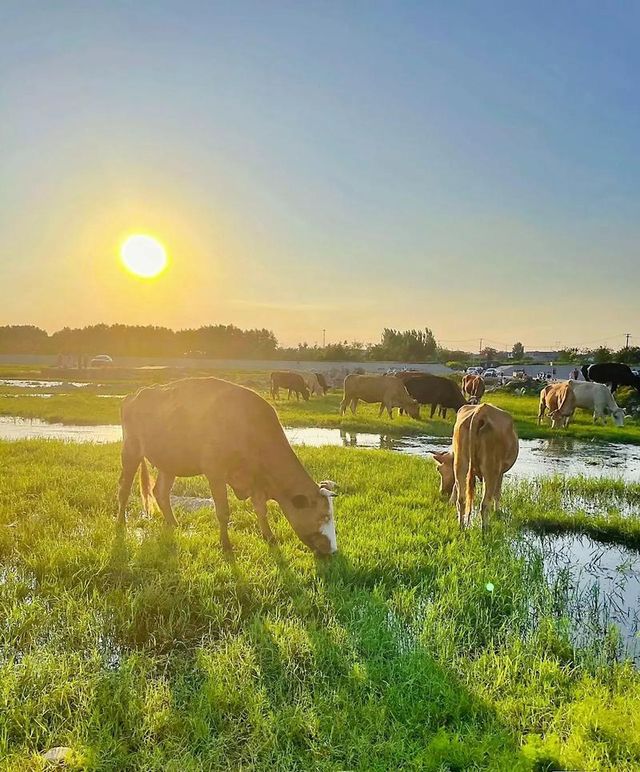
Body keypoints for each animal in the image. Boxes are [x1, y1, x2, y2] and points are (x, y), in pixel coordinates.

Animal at [120, 378, 340, 556]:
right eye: (323, 516)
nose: (333, 551)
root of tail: (134, 395)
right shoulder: (215, 472)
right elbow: (223, 511)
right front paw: (225, 545)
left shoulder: (257, 479)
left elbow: (261, 510)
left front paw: (269, 537)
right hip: (131, 451)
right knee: (124, 489)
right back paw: (121, 524)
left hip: (169, 462)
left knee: (160, 492)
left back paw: (173, 524)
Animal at [430, 404, 520, 532]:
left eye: (438, 469)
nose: (442, 492)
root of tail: (480, 410)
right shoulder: (500, 472)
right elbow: (497, 493)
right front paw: (497, 511)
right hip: (490, 469)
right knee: (485, 503)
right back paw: (485, 529)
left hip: (461, 464)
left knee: (462, 499)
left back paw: (461, 526)